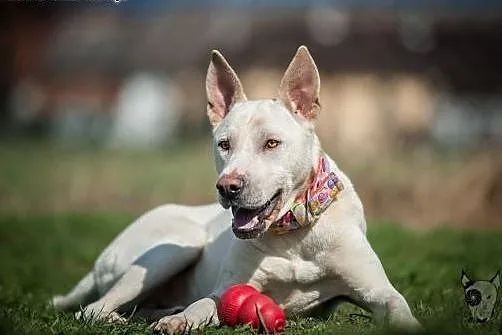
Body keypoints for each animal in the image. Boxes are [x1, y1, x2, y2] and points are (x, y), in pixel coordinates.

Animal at [51, 46, 422, 334]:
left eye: (271, 143)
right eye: (224, 144)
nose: (228, 187)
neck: (292, 234)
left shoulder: (377, 290)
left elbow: (398, 305)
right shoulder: (226, 290)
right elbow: (204, 304)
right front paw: (180, 321)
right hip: (173, 247)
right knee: (92, 309)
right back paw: (128, 317)